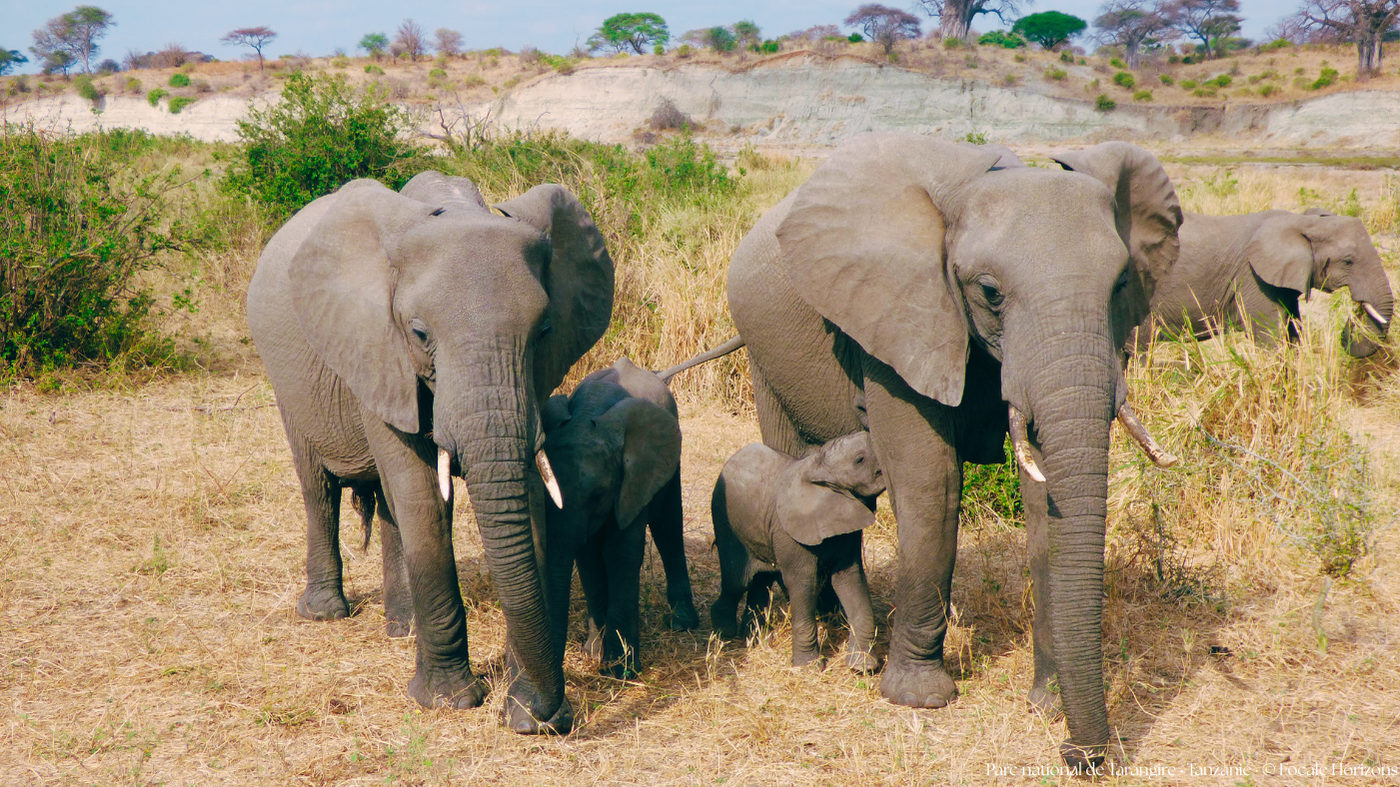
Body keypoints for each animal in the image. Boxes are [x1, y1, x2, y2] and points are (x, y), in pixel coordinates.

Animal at [246, 171, 614, 734]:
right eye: (420, 334)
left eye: (545, 331)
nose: (548, 718)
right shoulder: (376, 348)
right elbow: (419, 493)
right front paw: (448, 702)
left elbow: (526, 499)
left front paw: (523, 707)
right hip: (287, 378)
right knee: (319, 487)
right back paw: (326, 613)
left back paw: (402, 628)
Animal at [540, 358, 692, 678]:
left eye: (598, 495)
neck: (588, 414)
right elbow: (588, 557)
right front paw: (594, 653)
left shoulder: (633, 478)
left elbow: (620, 553)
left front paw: (622, 670)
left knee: (668, 528)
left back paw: (683, 623)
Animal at [710, 431, 885, 673]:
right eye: (860, 459)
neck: (819, 468)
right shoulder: (790, 533)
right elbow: (803, 583)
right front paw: (809, 668)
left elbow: (850, 579)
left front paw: (863, 667)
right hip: (725, 521)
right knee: (737, 581)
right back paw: (724, 634)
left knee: (762, 580)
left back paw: (754, 639)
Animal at [1137, 207, 1393, 356]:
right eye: (1349, 261)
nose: (1354, 317)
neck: (1301, 220)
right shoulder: (1254, 278)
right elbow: (1270, 340)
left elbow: (1292, 334)